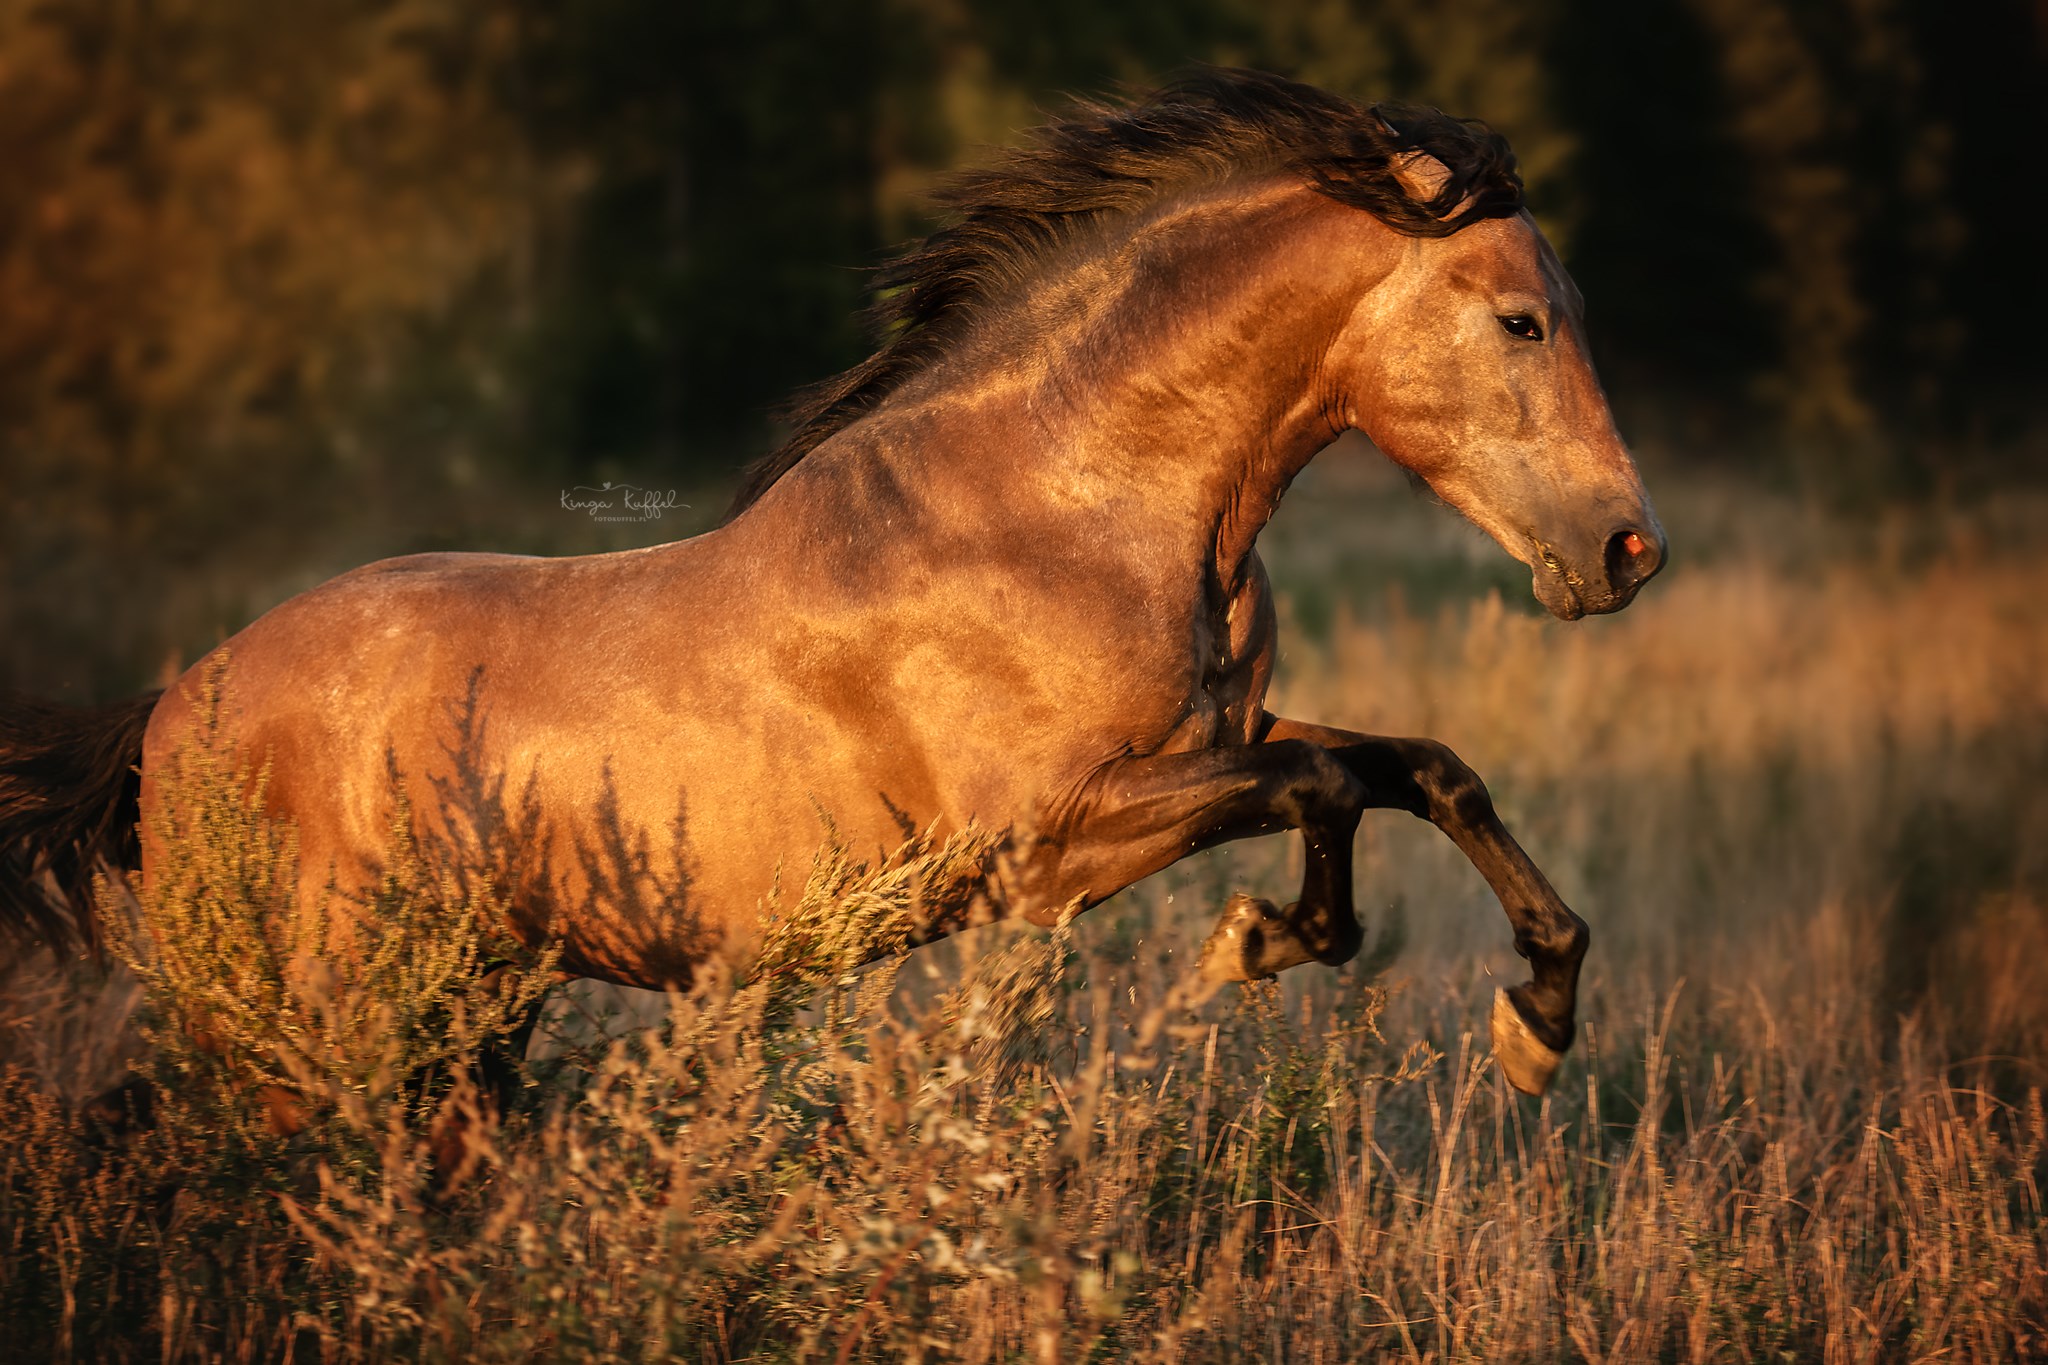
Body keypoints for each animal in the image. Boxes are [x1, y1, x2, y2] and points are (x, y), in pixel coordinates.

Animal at [0, 72, 1654, 1096]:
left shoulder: (1204, 750)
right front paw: (1267, 942)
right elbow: (1325, 786)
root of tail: (168, 711)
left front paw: (1537, 1019)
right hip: (324, 1010)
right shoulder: (1046, 847)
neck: (1062, 510)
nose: (1628, 550)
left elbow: (1419, 768)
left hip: (466, 1007)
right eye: (1520, 318)